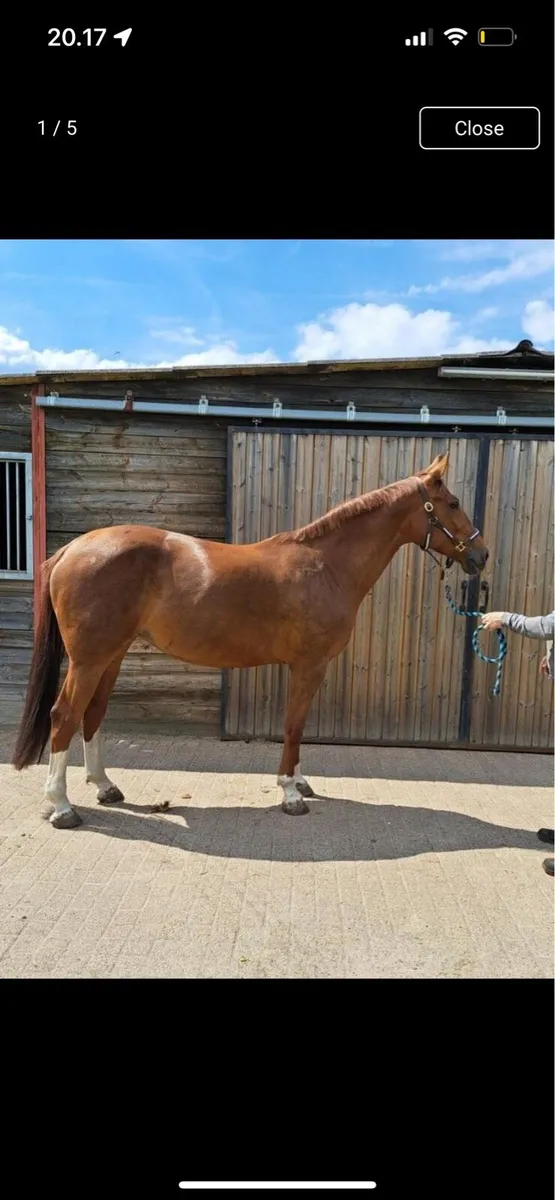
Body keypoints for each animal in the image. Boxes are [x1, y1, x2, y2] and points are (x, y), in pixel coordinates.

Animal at [12, 451, 488, 829]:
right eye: (452, 503)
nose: (481, 555)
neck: (326, 565)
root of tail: (71, 550)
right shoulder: (309, 665)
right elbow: (294, 724)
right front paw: (291, 793)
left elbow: (299, 725)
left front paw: (299, 782)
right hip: (89, 659)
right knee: (64, 715)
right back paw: (62, 807)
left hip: (111, 655)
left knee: (92, 714)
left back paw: (105, 787)